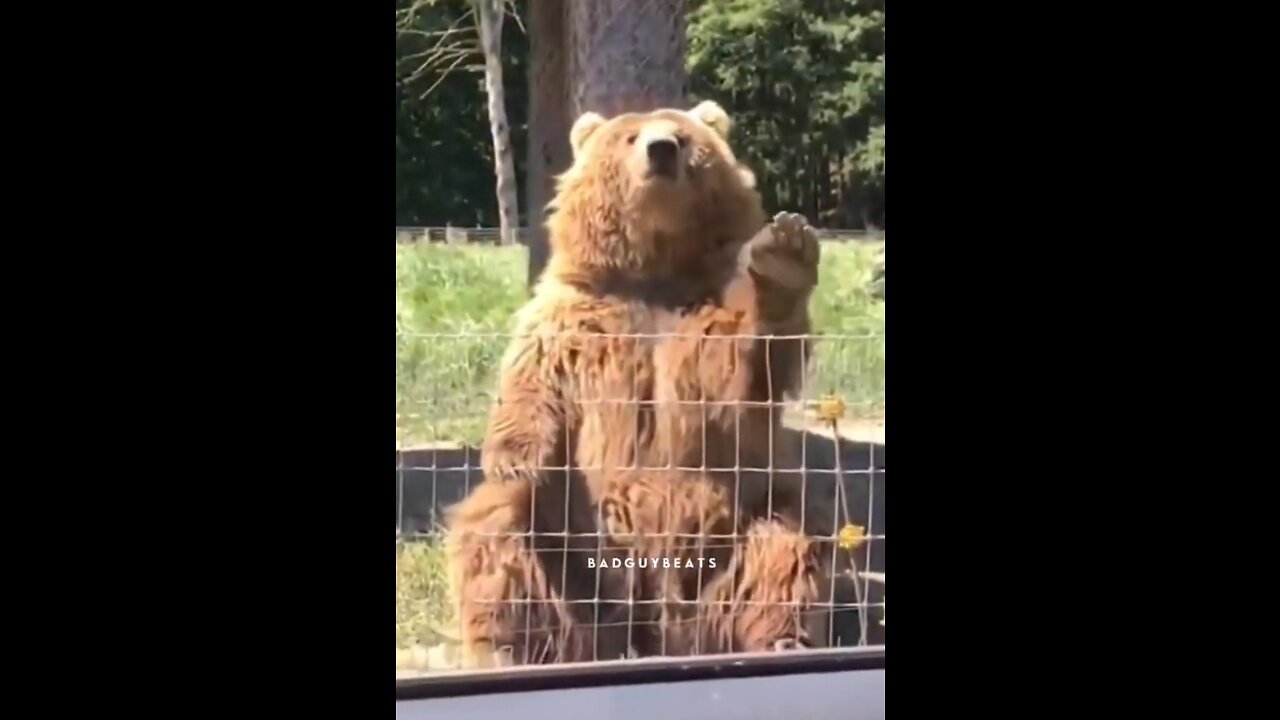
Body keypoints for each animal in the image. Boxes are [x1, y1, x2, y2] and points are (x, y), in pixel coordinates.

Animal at [442, 98, 829, 666]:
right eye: (630, 137)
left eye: (684, 137)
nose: (661, 149)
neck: (654, 271)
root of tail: (647, 629)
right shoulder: (574, 320)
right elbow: (532, 382)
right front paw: (514, 457)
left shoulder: (700, 322)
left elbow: (743, 376)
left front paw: (783, 258)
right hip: (571, 551)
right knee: (501, 538)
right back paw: (505, 649)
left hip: (729, 533)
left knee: (781, 546)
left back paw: (780, 636)